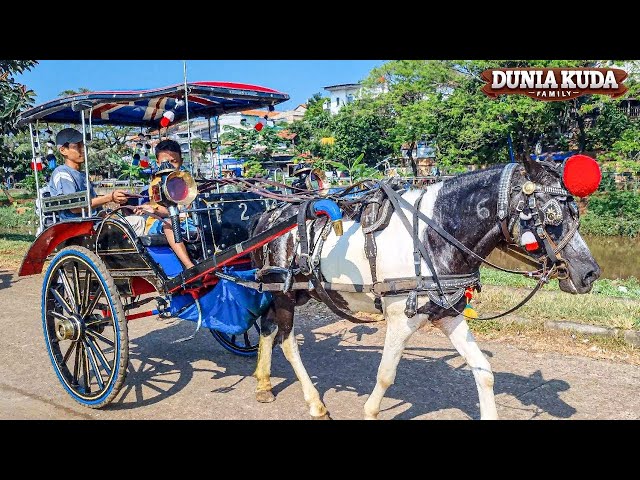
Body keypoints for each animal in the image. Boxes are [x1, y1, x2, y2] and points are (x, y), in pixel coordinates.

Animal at [249, 156, 600, 418]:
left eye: (575, 211)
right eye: (551, 213)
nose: (590, 273)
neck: (433, 234)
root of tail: (268, 215)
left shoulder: (449, 314)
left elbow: (483, 370)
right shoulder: (399, 320)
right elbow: (386, 374)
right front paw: (370, 409)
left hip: (288, 291)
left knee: (267, 327)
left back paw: (263, 383)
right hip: (283, 291)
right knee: (287, 341)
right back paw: (315, 402)